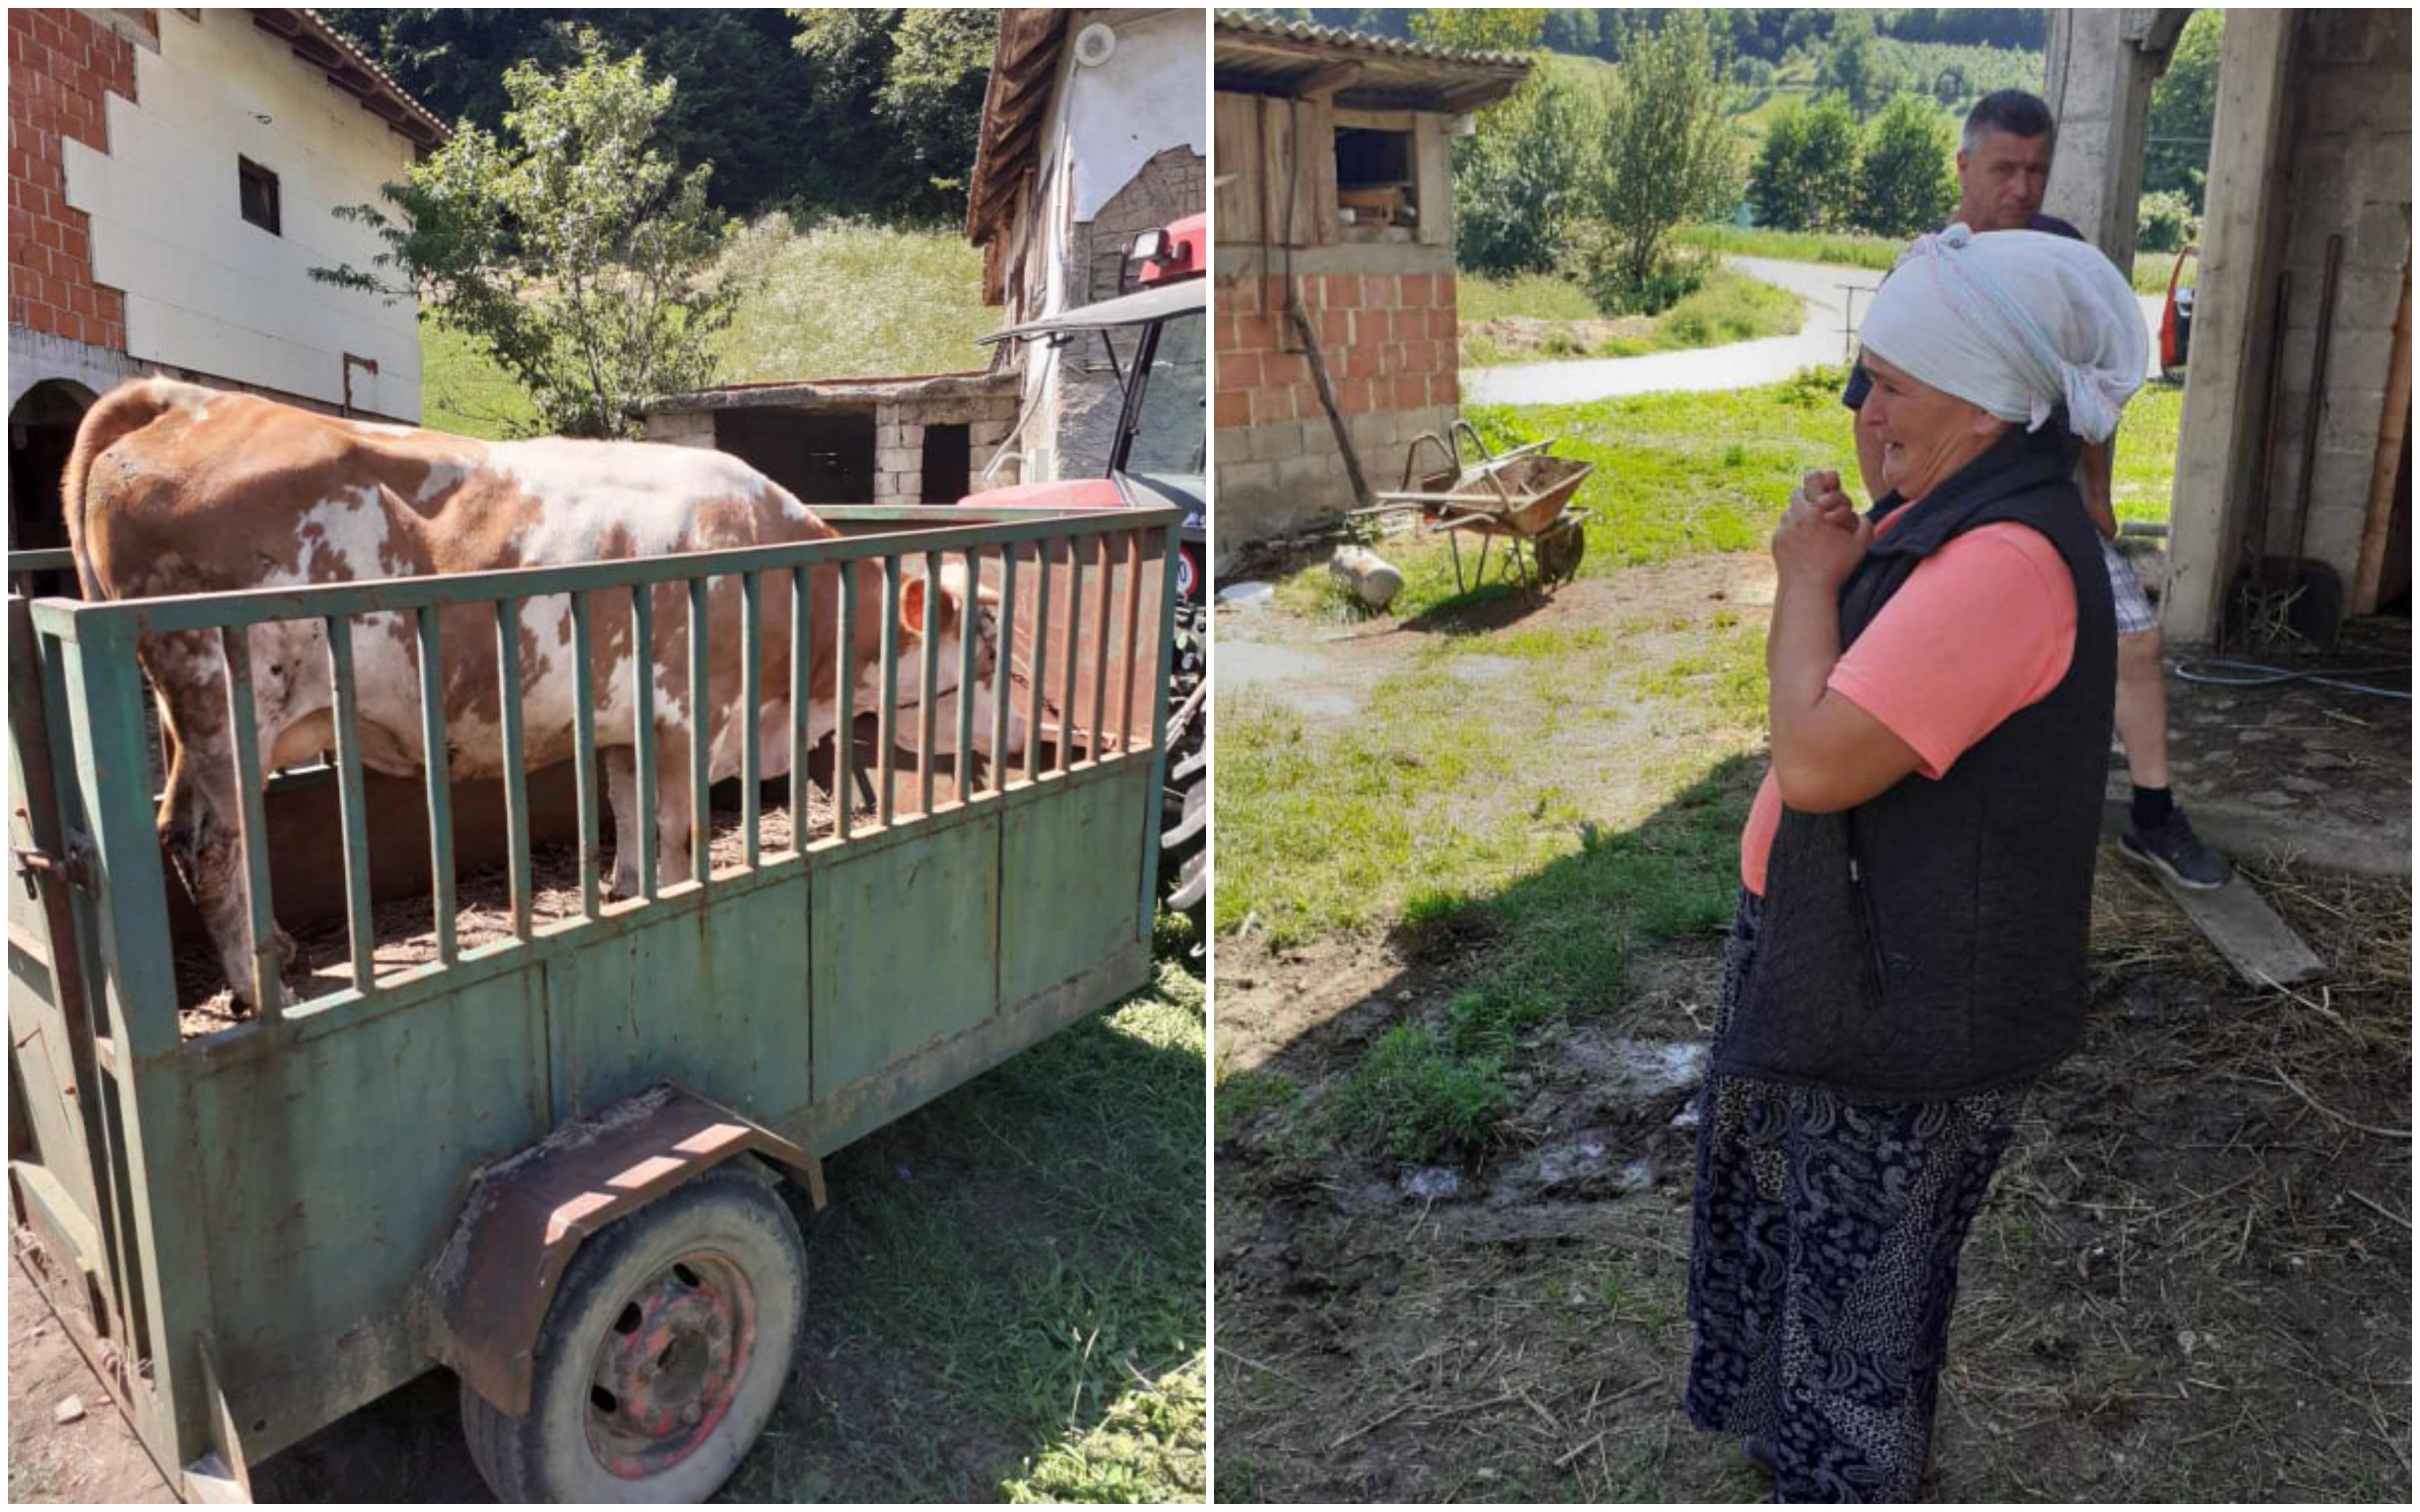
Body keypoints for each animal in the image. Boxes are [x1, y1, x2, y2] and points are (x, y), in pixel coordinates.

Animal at [56, 377, 1021, 1016]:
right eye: (989, 652)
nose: (1024, 731)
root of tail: (183, 398)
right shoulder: (689, 715)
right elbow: (678, 833)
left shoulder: (632, 722)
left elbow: (629, 815)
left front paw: (628, 892)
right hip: (225, 695)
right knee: (213, 842)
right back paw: (261, 990)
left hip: (198, 722)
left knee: (188, 828)